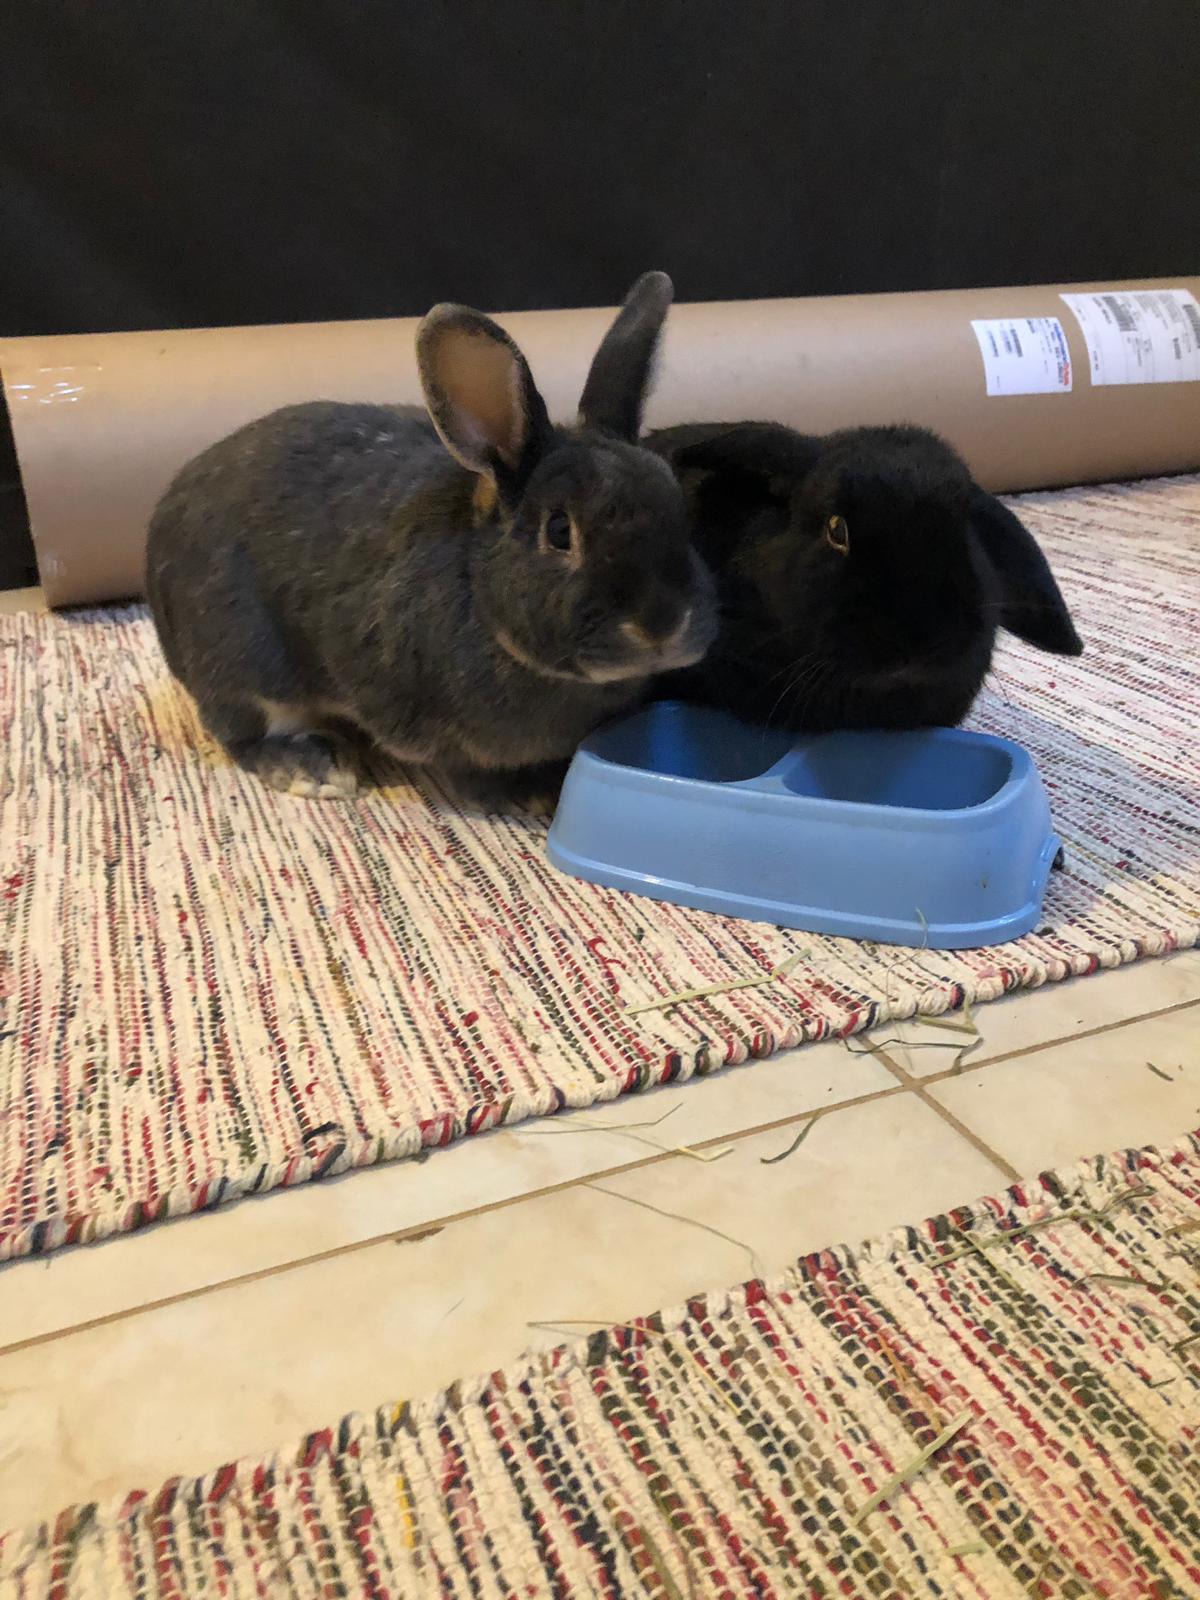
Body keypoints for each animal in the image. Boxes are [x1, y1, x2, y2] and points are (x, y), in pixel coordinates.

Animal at [146, 272, 716, 798]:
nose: (662, 626)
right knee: (241, 730)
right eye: (559, 531)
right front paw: (525, 794)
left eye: (678, 506)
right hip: (243, 664)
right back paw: (314, 768)